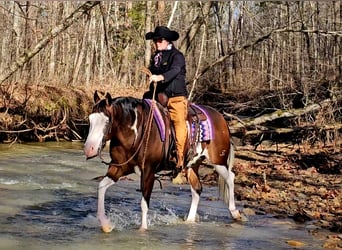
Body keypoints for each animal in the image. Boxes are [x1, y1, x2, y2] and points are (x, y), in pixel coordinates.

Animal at [83, 91, 240, 232]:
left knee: (230, 178)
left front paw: (143, 230)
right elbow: (101, 187)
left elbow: (144, 202)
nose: (89, 149)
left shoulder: (148, 172)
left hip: (218, 161)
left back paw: (235, 213)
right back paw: (189, 221)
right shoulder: (118, 168)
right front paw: (106, 224)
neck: (137, 134)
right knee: (197, 189)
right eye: (90, 120)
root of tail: (220, 117)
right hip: (192, 165)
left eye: (107, 121)